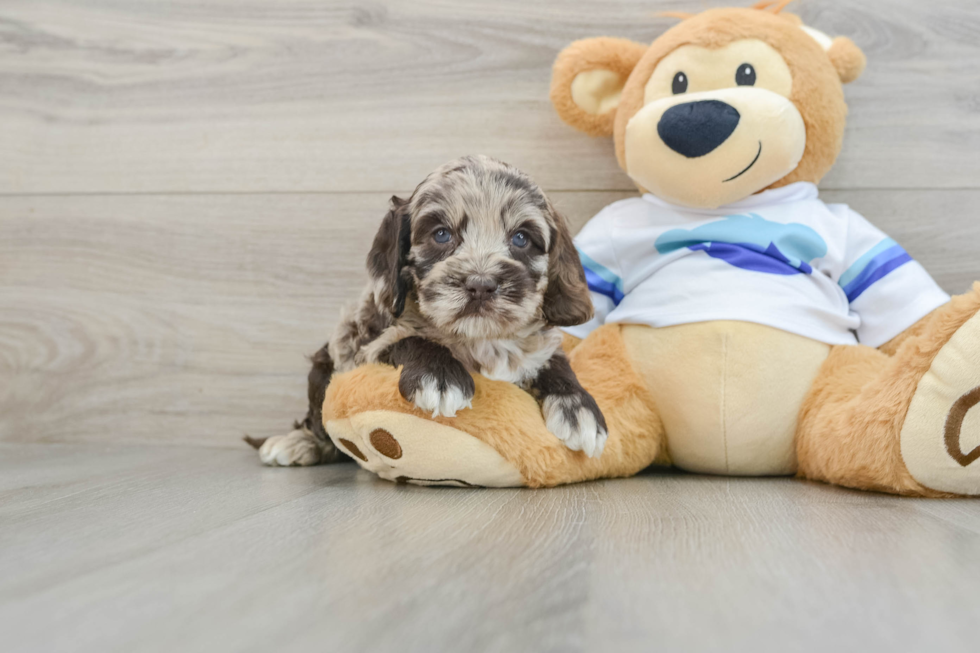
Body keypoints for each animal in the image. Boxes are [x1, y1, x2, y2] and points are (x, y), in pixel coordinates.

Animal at [251, 155, 604, 466]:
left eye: (521, 238)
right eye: (441, 234)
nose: (481, 284)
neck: (480, 339)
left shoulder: (538, 348)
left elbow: (554, 363)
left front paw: (579, 408)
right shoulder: (363, 349)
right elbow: (409, 339)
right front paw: (440, 377)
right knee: (317, 420)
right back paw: (297, 444)